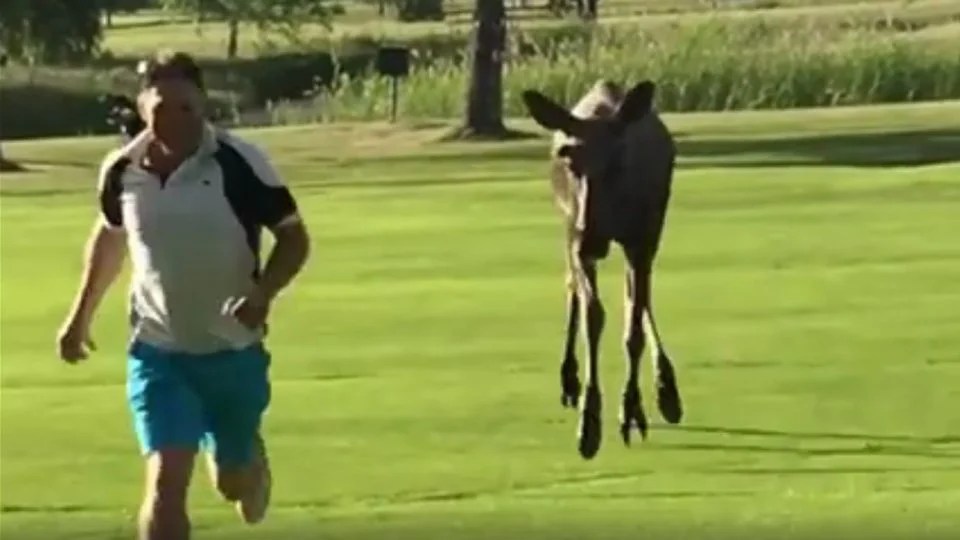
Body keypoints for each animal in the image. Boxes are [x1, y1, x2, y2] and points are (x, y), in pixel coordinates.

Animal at [521, 79, 684, 460]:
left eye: (618, 160)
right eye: (569, 159)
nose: (592, 237)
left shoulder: (642, 237)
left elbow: (634, 324)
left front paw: (631, 408)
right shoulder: (576, 237)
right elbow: (593, 315)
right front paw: (589, 420)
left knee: (636, 297)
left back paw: (666, 389)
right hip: (567, 227)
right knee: (573, 287)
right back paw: (569, 380)